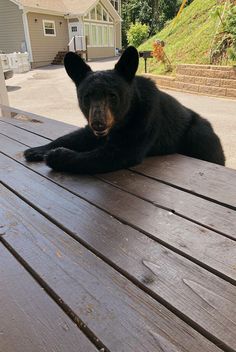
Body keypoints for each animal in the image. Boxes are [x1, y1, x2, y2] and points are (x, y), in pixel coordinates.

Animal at [24, 46, 225, 173]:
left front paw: (58, 156)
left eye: (113, 96)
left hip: (199, 135)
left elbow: (109, 155)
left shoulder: (143, 122)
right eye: (86, 97)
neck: (125, 118)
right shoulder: (93, 129)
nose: (98, 123)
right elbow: (75, 136)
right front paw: (37, 149)